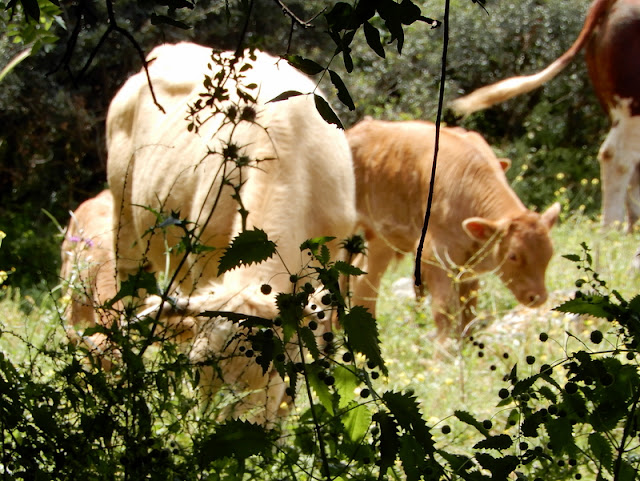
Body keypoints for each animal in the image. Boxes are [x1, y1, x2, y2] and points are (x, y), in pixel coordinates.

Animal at [344, 118, 560, 340]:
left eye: (549, 253)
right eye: (513, 256)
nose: (538, 297)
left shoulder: (468, 265)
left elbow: (468, 309)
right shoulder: (435, 255)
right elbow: (445, 310)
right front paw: (445, 348)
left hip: (382, 237)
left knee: (363, 277)